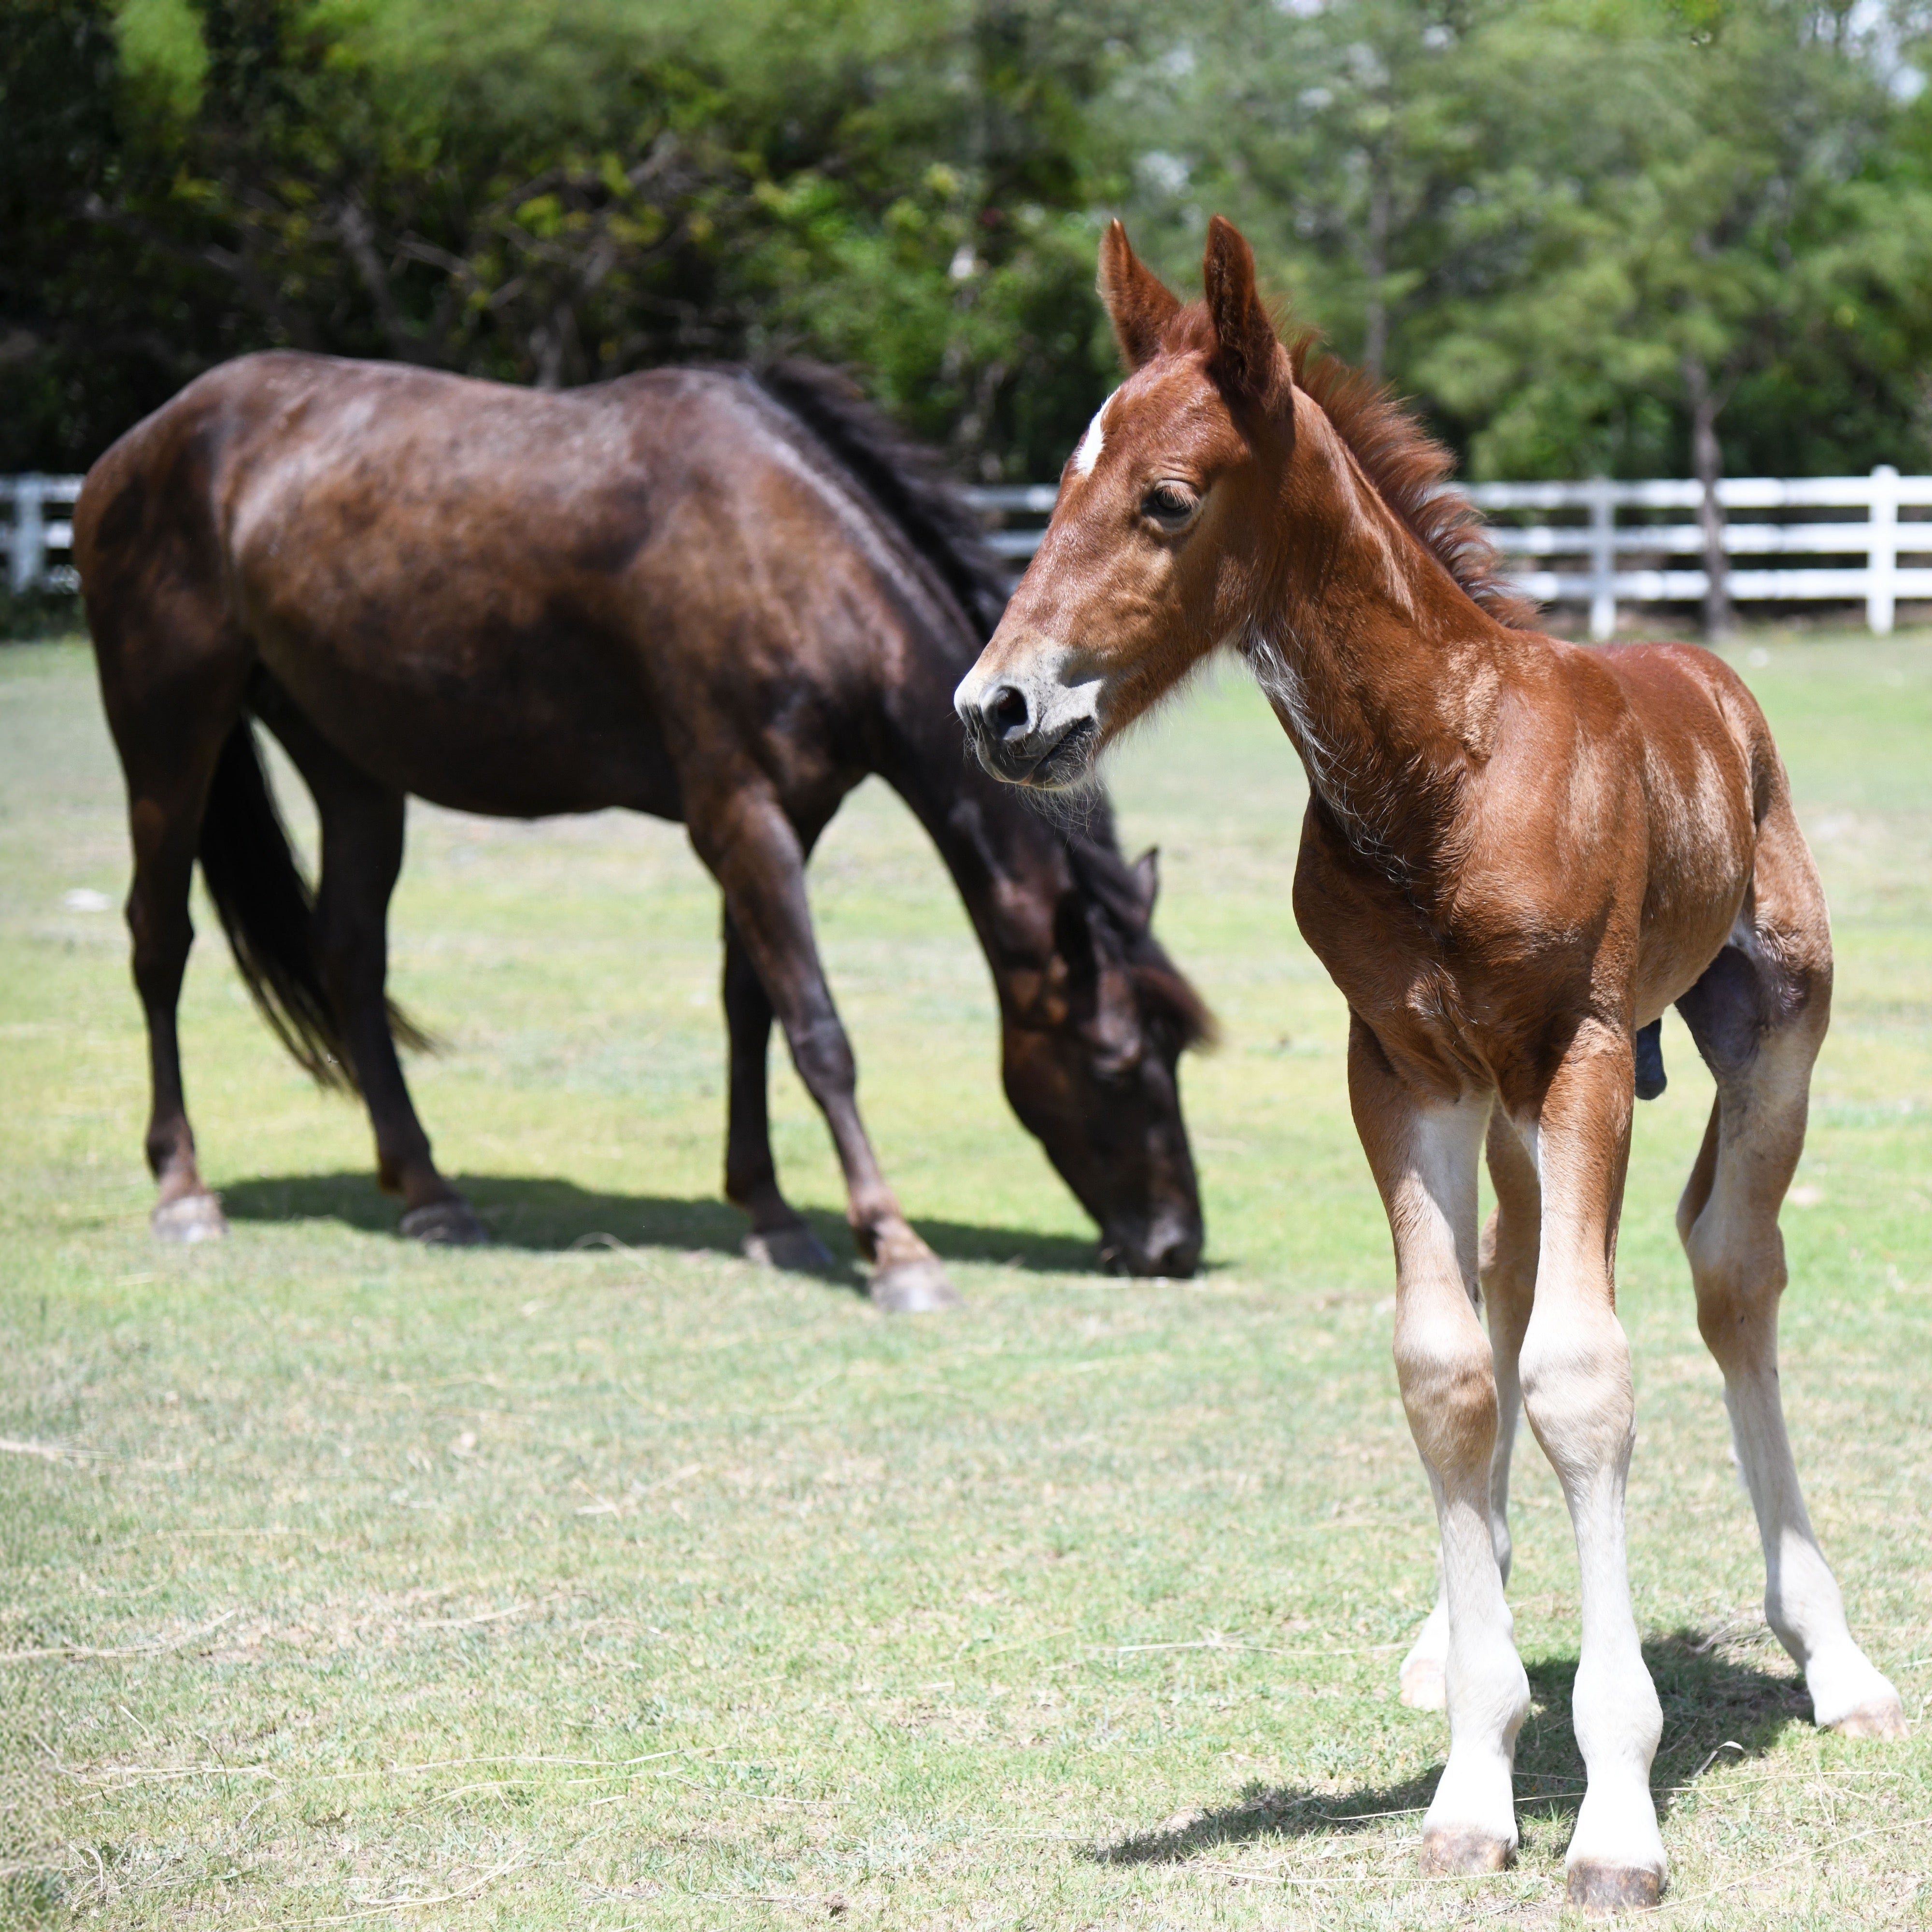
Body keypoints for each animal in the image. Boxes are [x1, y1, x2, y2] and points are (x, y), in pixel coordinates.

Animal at [74, 351, 1213, 1313]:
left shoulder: (782, 819)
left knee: (350, 954)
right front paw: (894, 1247)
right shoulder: (739, 815)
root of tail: (135, 447)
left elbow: (749, 1009)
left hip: (353, 767)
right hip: (169, 730)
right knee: (158, 941)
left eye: (1173, 1056)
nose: (1174, 1247)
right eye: (1116, 1063)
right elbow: (818, 1031)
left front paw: (768, 1212)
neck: (786, 546)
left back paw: (428, 1190)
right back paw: (184, 1190)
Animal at [953, 216, 1904, 1901]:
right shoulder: (1400, 1068)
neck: (1440, 773)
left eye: (1166, 499)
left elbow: (1583, 1378)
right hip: (1512, 1115)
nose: (996, 707)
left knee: (1731, 1276)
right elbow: (1451, 1370)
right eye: (1055, 488)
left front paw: (1615, 1815)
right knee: (1517, 1281)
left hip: (1761, 1033)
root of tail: (1715, 681)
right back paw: (1457, 1628)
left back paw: (1834, 1660)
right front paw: (1472, 1770)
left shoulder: (1578, 1051)